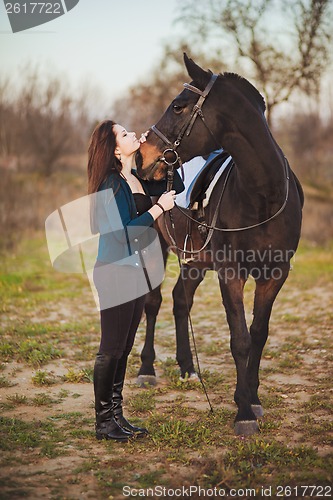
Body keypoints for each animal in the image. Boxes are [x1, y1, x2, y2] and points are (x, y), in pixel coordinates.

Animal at [136, 54, 304, 436]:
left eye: (178, 106)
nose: (142, 156)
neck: (264, 194)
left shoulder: (276, 274)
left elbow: (258, 334)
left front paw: (253, 399)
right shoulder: (231, 273)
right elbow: (239, 339)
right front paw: (242, 412)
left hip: (195, 260)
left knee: (180, 301)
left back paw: (187, 367)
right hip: (155, 247)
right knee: (153, 303)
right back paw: (147, 369)